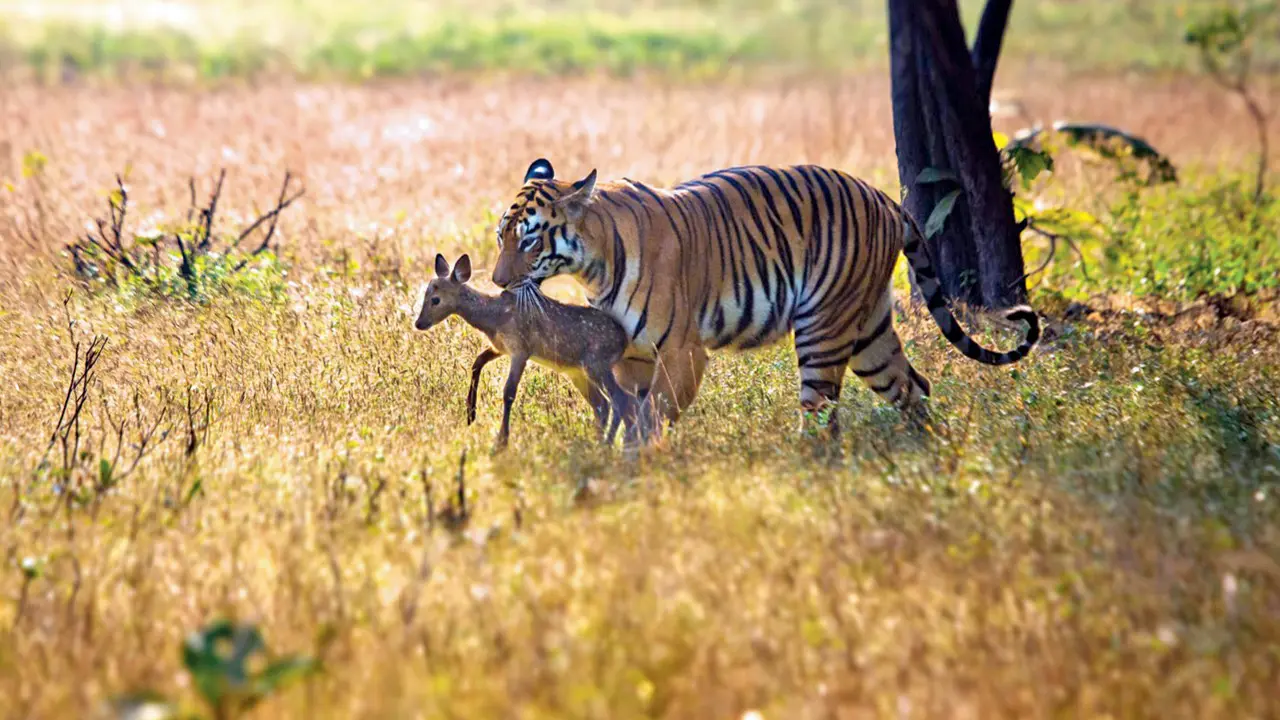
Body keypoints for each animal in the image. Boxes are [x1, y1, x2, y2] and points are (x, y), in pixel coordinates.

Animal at [414, 253, 646, 451]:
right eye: (426, 294)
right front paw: (471, 413)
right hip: (578, 371)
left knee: (621, 399)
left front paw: (502, 441)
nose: (419, 323)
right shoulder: (501, 347)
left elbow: (508, 392)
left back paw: (607, 444)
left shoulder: (521, 349)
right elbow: (476, 362)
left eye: (436, 299)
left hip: (597, 364)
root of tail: (624, 339)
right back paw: (599, 442)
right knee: (603, 404)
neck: (493, 317)